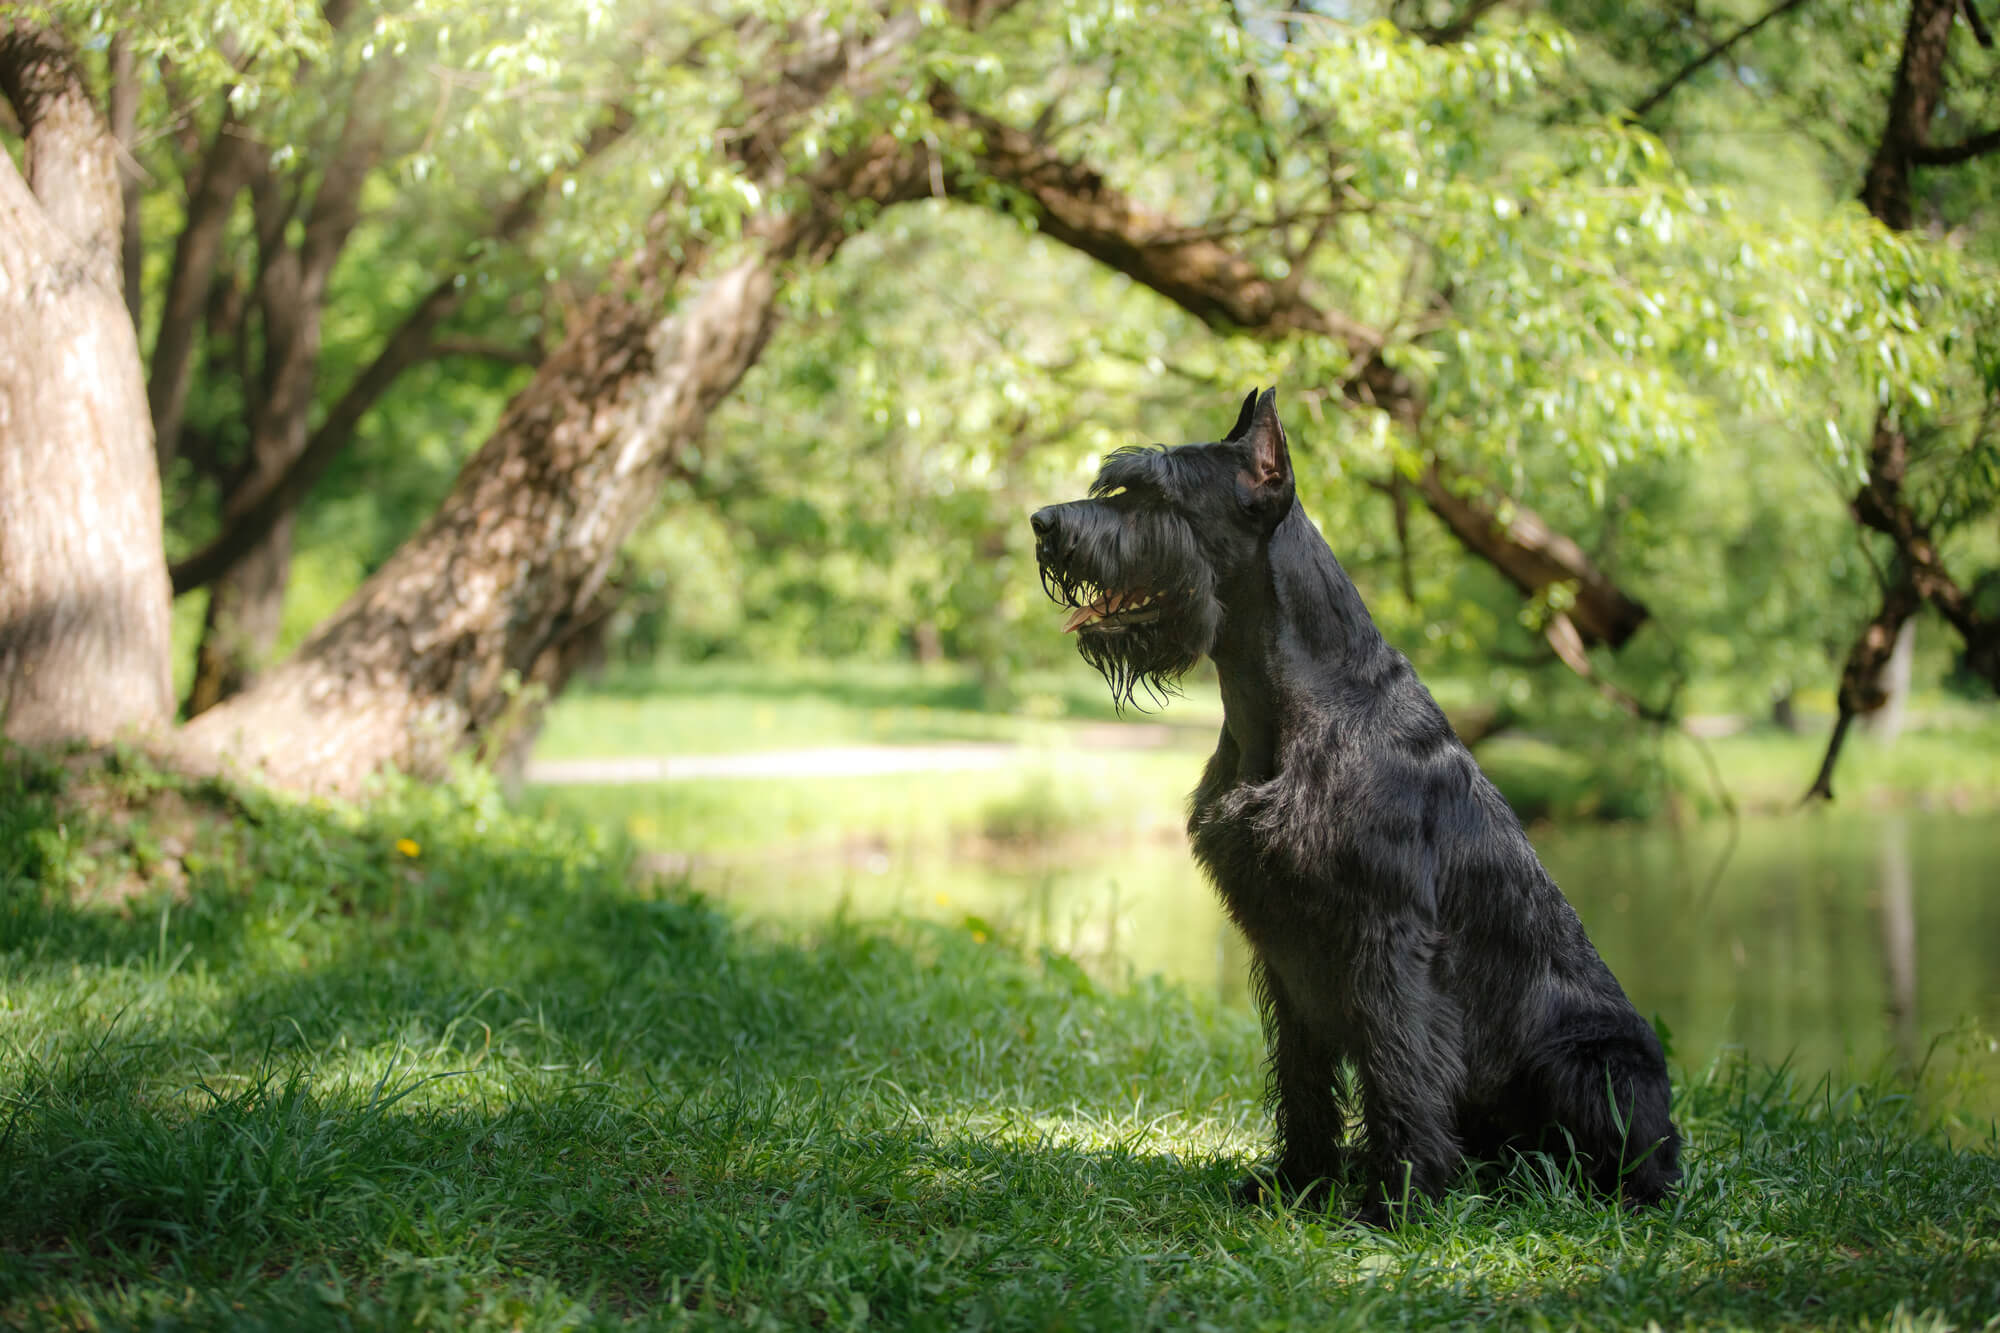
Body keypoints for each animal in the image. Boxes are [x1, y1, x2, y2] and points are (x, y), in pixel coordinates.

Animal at [1040, 390, 1680, 1216]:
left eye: (1154, 494)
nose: (1044, 524)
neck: (1288, 706)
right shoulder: (1283, 946)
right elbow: (1303, 1075)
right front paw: (1300, 1179)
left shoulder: (1388, 936)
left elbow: (1398, 1067)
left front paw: (1395, 1199)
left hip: (1595, 1063)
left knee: (1637, 1162)